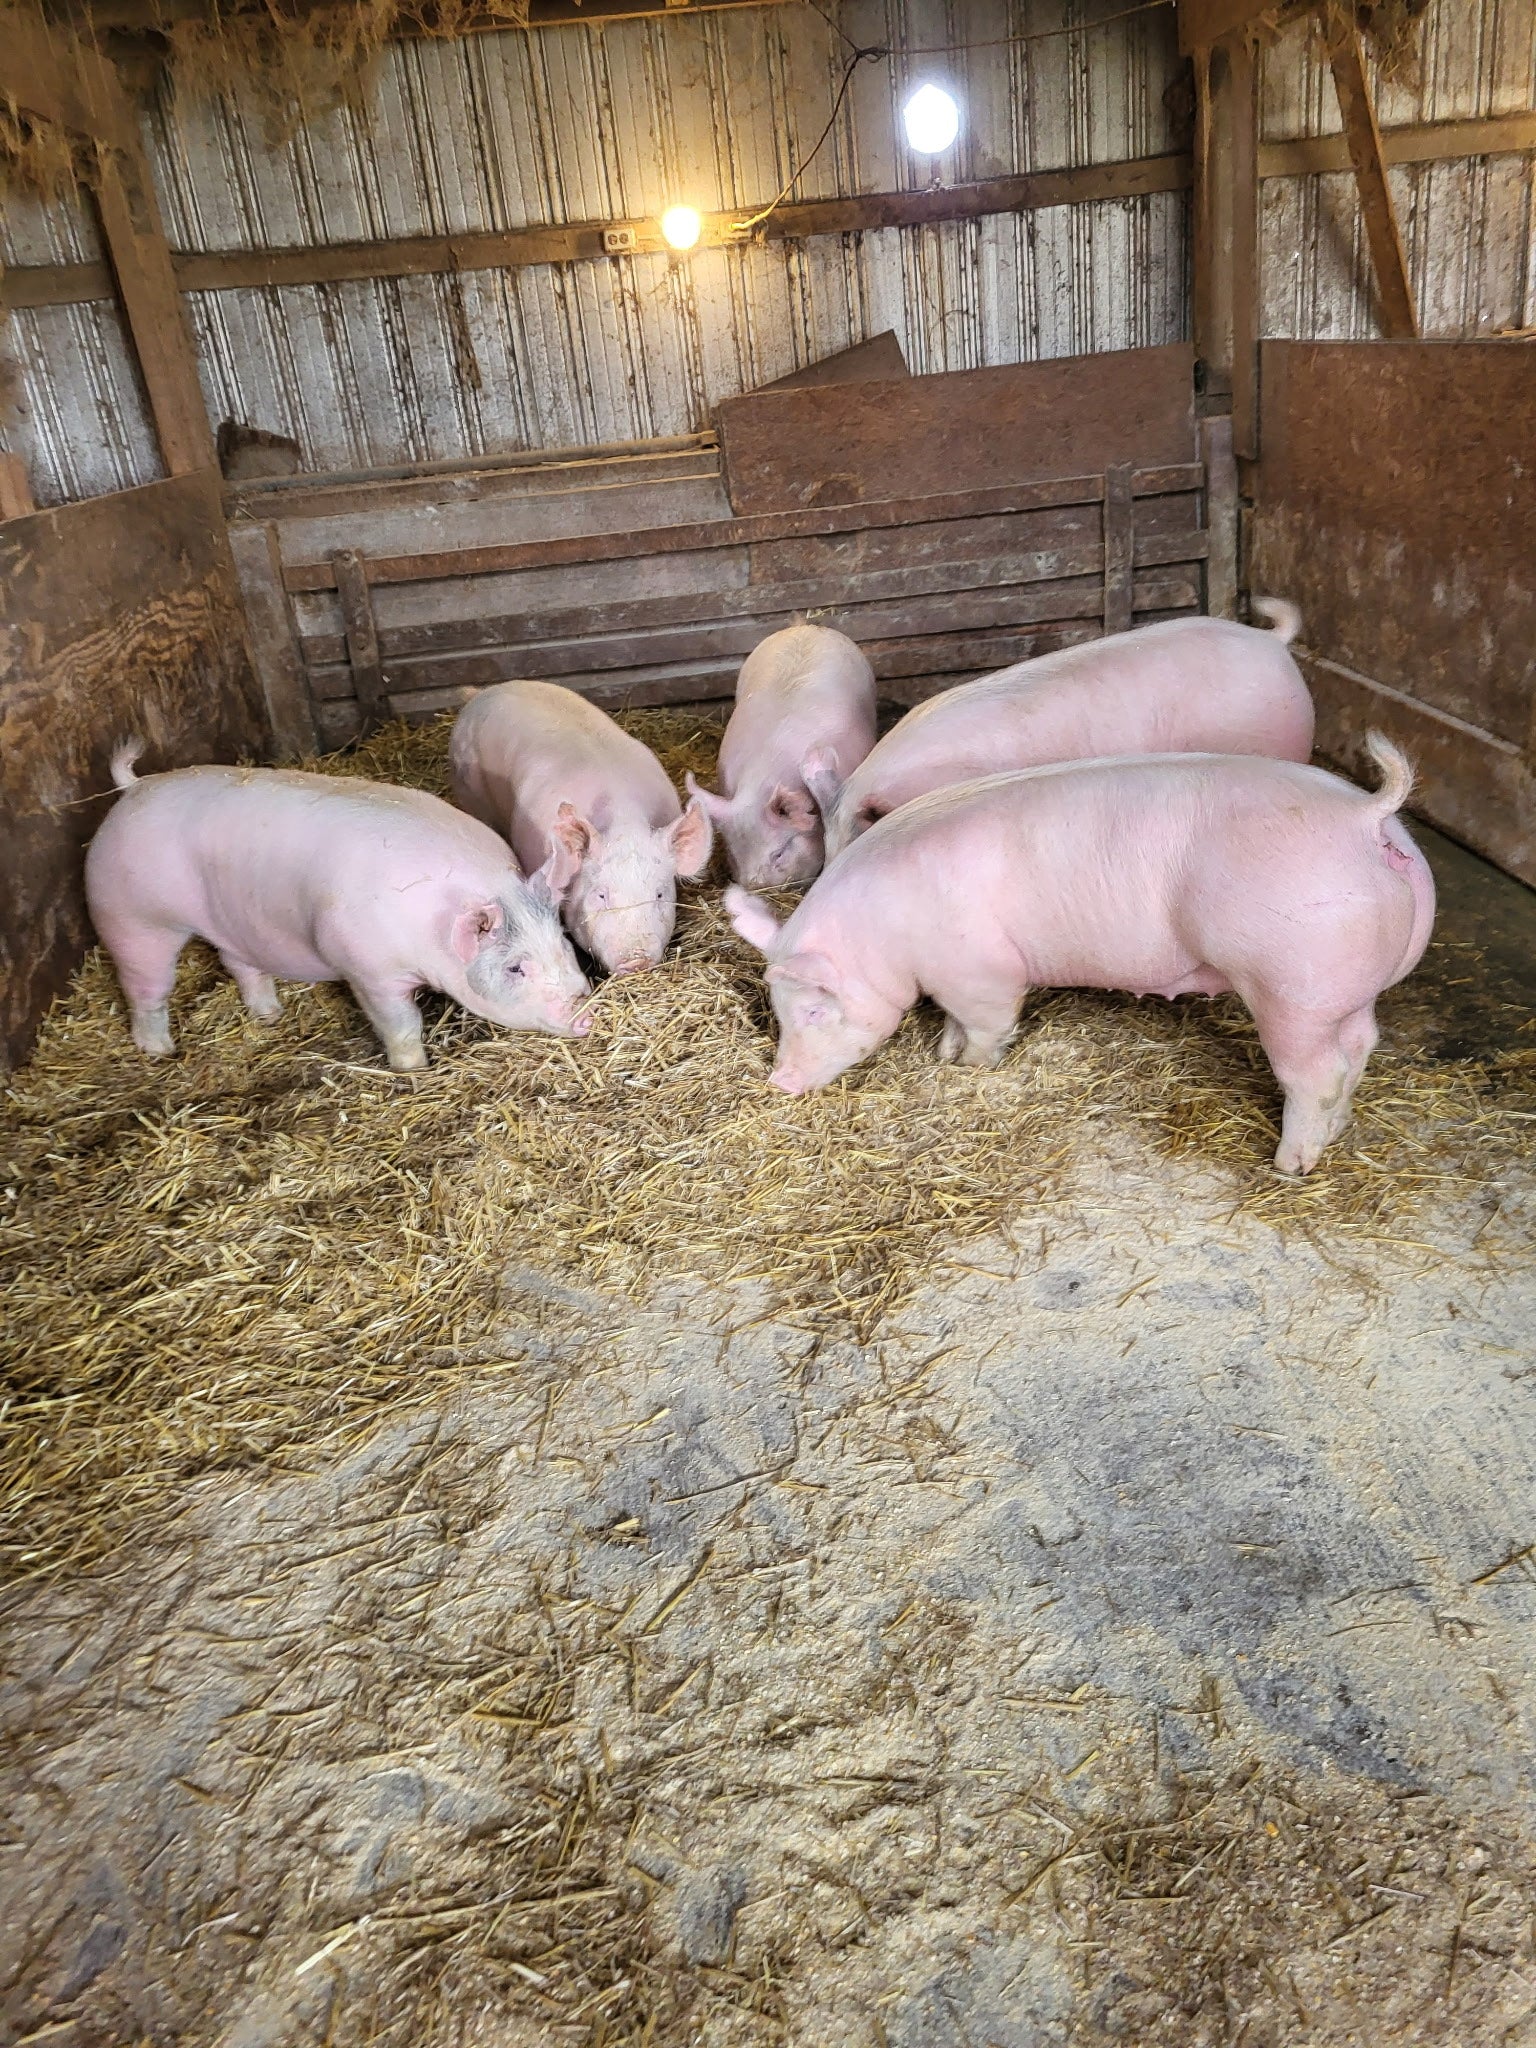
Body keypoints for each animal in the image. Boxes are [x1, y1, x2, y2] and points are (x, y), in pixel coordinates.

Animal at [85, 744, 592, 1072]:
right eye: (515, 968)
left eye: (564, 943)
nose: (584, 1012)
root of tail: (132, 789)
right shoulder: (368, 970)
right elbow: (400, 1024)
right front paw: (414, 1070)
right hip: (130, 916)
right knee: (146, 986)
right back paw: (159, 1051)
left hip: (234, 920)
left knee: (238, 962)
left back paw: (270, 1015)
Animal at [726, 735, 1434, 1176]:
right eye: (776, 1013)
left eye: (813, 1012)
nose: (779, 1080)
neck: (883, 934)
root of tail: (1366, 815)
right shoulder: (952, 978)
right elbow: (955, 1023)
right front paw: (946, 1054)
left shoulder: (982, 969)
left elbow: (989, 1023)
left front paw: (970, 1068)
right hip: (1346, 992)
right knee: (1359, 1047)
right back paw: (1335, 1131)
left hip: (1293, 990)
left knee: (1316, 1075)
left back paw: (1290, 1165)